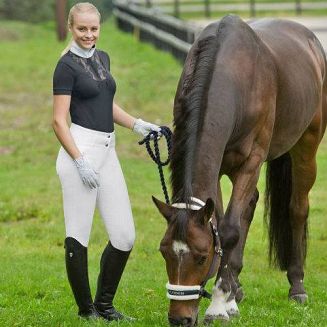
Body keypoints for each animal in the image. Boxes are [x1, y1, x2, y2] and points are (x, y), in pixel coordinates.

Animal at [154, 14, 327, 326]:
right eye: (164, 253)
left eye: (201, 256)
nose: (179, 319)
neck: (234, 75)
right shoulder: (218, 166)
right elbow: (223, 224)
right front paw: (229, 296)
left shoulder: (250, 163)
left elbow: (229, 230)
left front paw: (218, 305)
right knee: (250, 205)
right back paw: (237, 288)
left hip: (306, 146)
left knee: (297, 209)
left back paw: (297, 287)